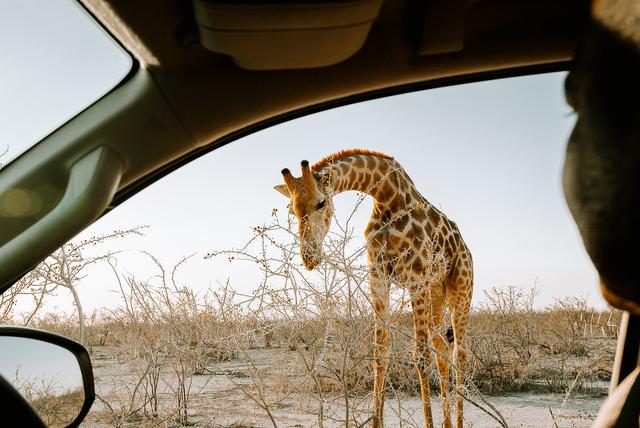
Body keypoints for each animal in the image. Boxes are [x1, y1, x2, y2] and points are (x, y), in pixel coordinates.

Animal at [272, 150, 472, 428]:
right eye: (291, 210)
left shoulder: (416, 278)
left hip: (460, 292)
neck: (387, 196)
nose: (309, 257)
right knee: (442, 352)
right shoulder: (377, 278)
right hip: (435, 295)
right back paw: (448, 424)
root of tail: (466, 249)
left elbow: (420, 356)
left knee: (459, 354)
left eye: (321, 203)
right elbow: (380, 352)